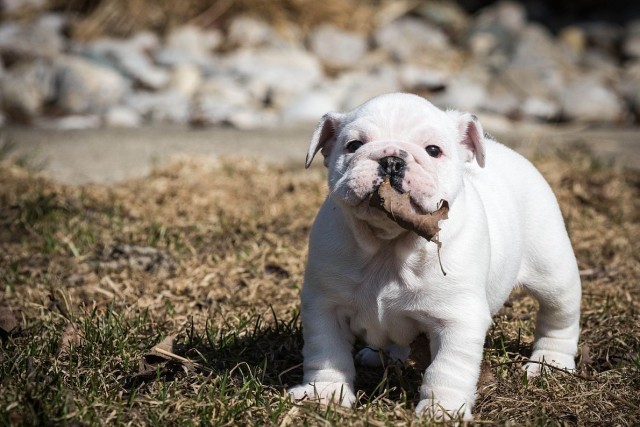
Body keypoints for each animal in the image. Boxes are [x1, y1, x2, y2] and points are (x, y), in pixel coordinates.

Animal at [288, 93, 584, 422]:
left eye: (433, 150)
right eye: (353, 145)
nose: (392, 160)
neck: (389, 245)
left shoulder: (456, 319)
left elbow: (447, 369)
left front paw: (441, 410)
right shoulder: (325, 306)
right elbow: (327, 353)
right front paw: (324, 394)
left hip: (553, 273)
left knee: (558, 316)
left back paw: (550, 364)